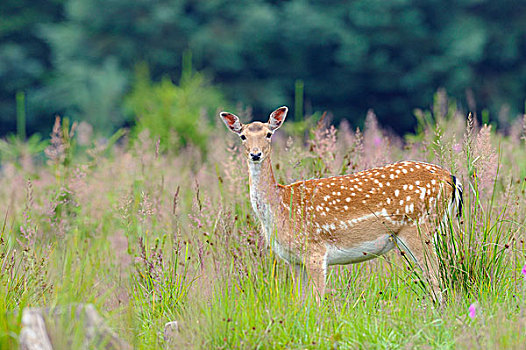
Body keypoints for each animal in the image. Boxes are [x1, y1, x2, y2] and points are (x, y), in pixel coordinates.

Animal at [221, 105, 464, 302]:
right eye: (242, 136)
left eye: (269, 134)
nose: (255, 154)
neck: (280, 207)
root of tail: (451, 178)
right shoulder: (293, 261)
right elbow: (300, 303)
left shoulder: (315, 252)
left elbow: (317, 302)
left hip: (419, 227)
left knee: (436, 278)